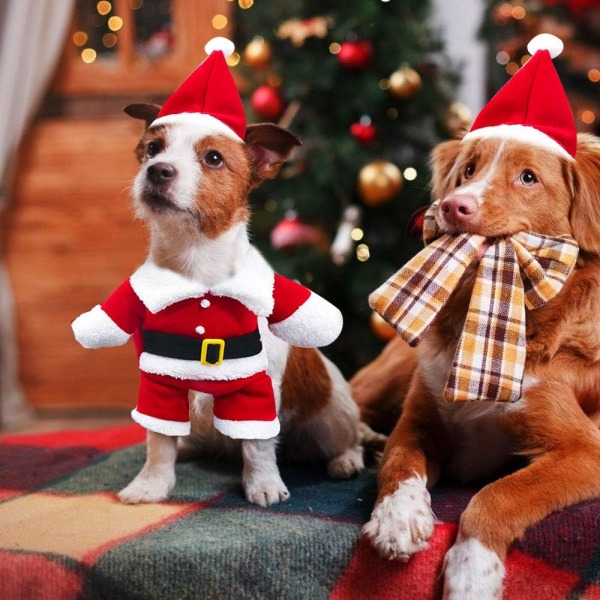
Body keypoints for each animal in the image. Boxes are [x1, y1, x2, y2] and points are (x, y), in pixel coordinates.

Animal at [89, 103, 376, 506]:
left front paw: (263, 485)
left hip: (333, 417)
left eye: (213, 158)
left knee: (349, 440)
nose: (157, 170)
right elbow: (158, 441)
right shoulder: (158, 382)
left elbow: (257, 446)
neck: (194, 270)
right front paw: (150, 485)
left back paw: (345, 460)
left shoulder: (257, 388)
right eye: (153, 149)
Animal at [356, 132, 600, 600]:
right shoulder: (417, 420)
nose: (454, 206)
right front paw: (397, 517)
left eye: (528, 177)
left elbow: (498, 494)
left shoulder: (586, 451)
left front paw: (472, 571)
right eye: (468, 169)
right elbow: (399, 463)